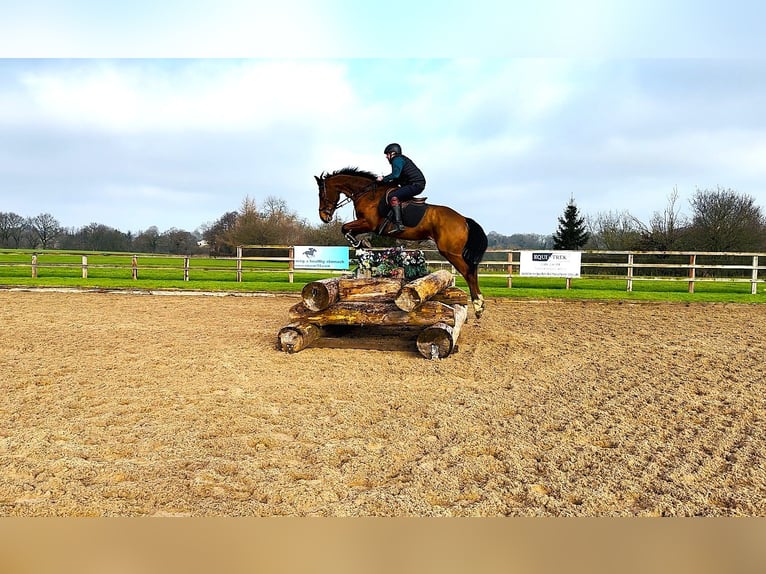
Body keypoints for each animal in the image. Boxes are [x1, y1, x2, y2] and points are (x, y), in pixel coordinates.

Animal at [316, 166, 488, 320]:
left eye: (321, 194)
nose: (324, 217)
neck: (367, 194)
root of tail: (463, 219)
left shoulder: (369, 223)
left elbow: (344, 228)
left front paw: (358, 243)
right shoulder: (366, 225)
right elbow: (348, 230)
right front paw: (362, 243)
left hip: (450, 252)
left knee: (469, 273)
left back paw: (478, 306)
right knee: (473, 270)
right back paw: (480, 304)